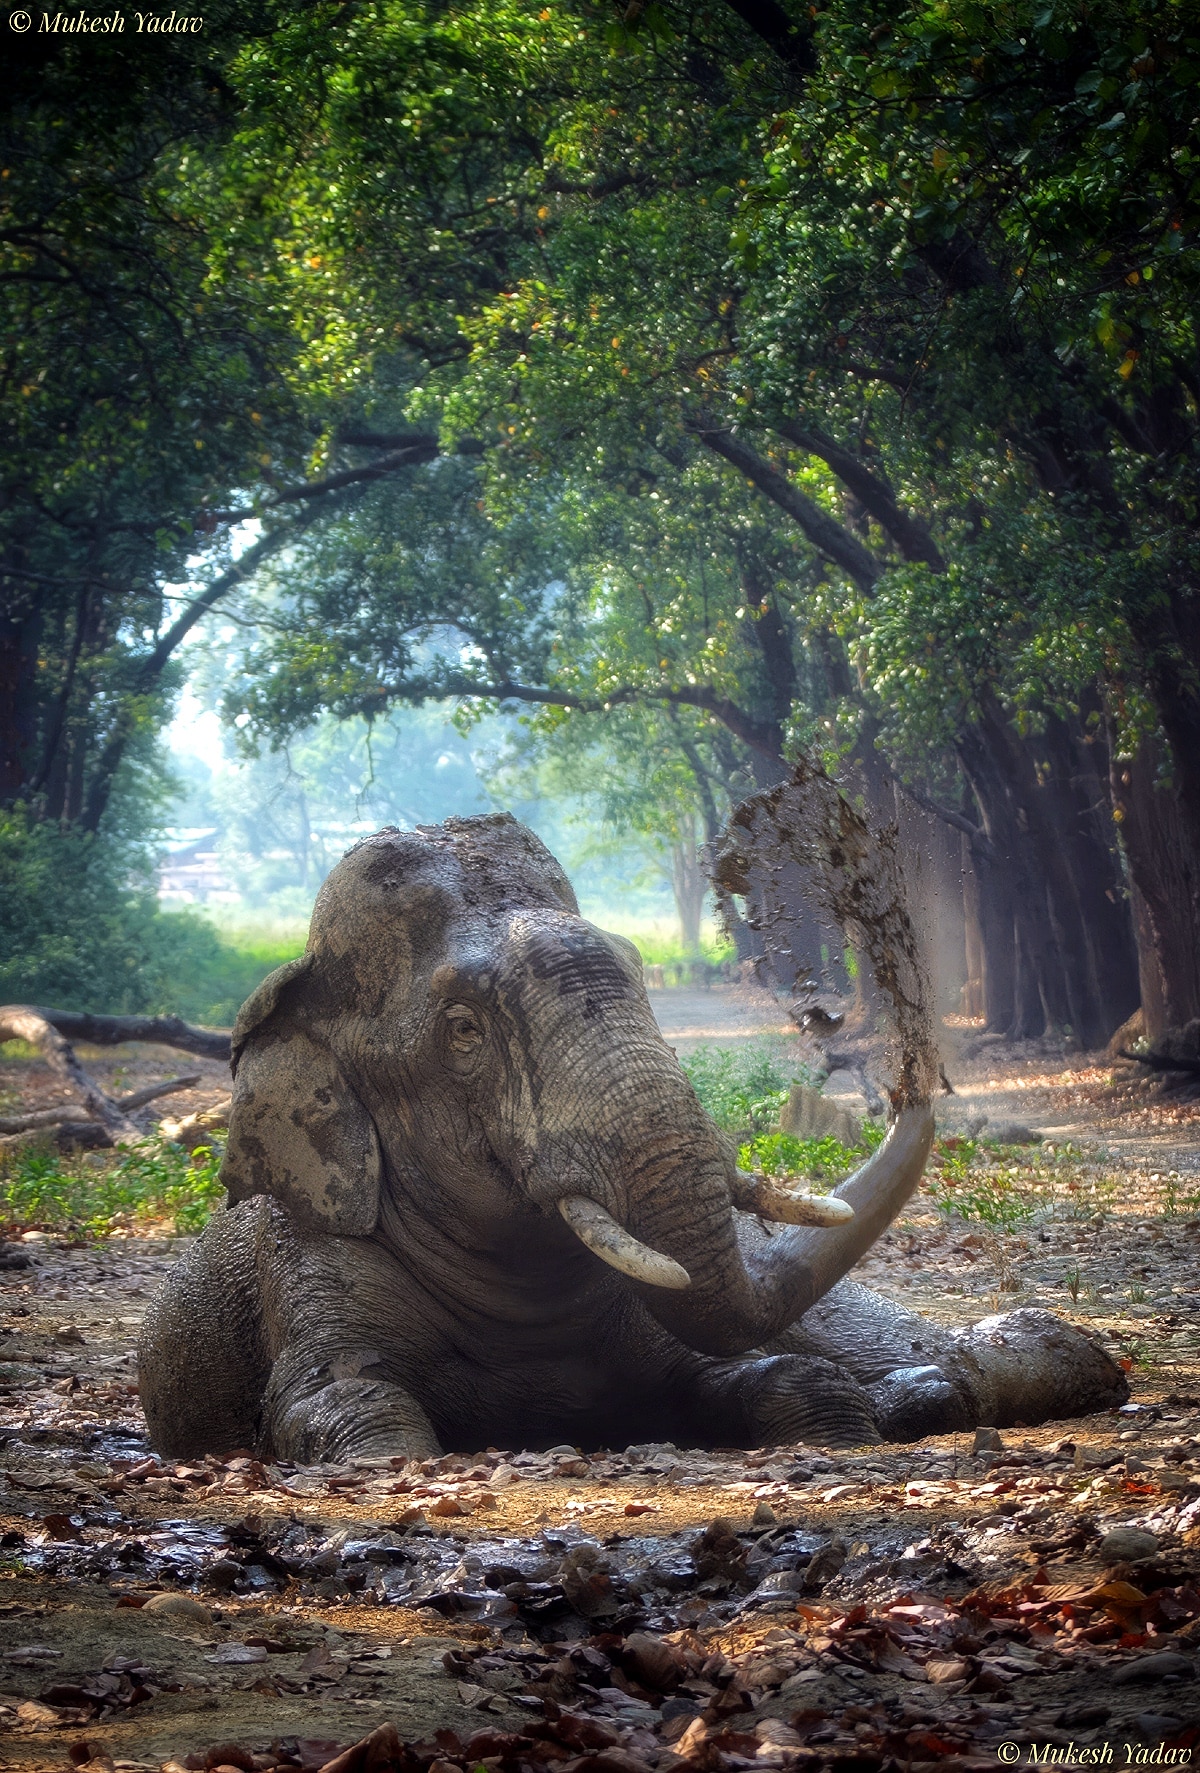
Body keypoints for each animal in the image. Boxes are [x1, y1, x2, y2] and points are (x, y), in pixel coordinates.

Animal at [138, 814, 1126, 1462]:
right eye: (462, 1029)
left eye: (645, 971)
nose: (903, 1065)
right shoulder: (306, 1266)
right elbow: (339, 1405)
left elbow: (762, 1370)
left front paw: (842, 1420)